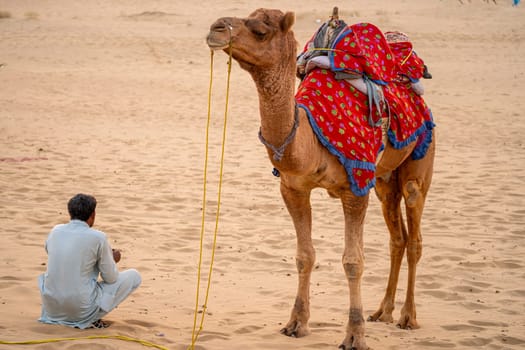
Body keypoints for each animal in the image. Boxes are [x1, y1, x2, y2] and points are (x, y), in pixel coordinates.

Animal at [205, 8, 434, 350]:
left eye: (260, 31)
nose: (216, 28)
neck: (309, 140)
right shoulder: (293, 188)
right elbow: (304, 255)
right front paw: (296, 323)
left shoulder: (356, 187)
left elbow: (353, 262)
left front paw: (354, 336)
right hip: (384, 181)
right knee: (398, 238)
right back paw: (382, 311)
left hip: (420, 159)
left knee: (415, 233)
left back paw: (408, 317)